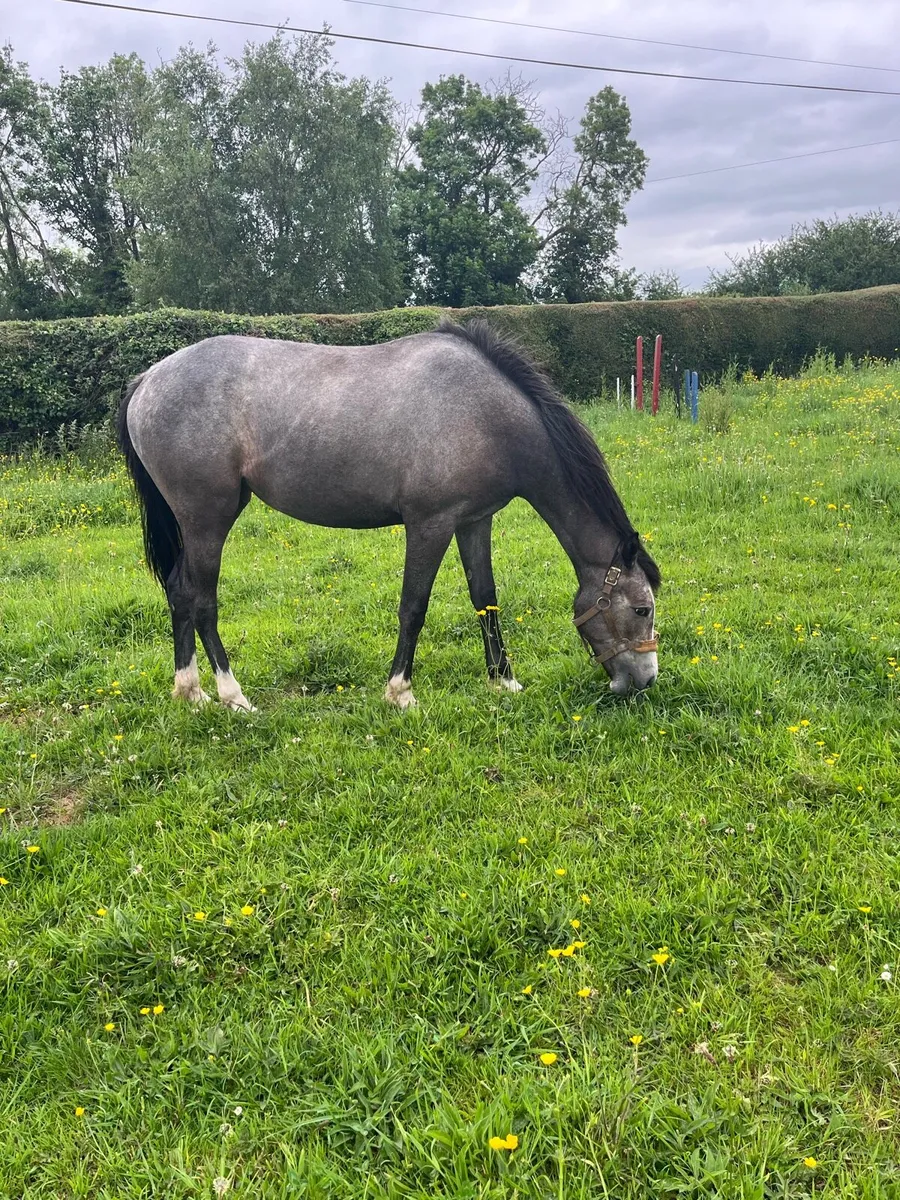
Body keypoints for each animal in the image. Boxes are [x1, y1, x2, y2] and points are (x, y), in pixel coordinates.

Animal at [117, 318, 660, 711]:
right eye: (642, 609)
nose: (646, 680)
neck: (487, 413)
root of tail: (148, 379)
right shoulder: (430, 524)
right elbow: (413, 607)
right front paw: (400, 692)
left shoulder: (473, 521)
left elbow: (485, 598)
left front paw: (504, 682)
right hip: (207, 520)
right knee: (202, 601)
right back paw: (233, 697)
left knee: (178, 593)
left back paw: (190, 692)